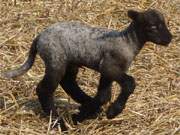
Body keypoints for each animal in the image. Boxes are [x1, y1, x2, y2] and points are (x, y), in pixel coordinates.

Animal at [1, 8, 173, 124]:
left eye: (164, 24)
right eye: (153, 26)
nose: (169, 38)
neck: (127, 42)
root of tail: (38, 38)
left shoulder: (107, 71)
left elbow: (104, 95)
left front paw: (84, 114)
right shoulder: (110, 67)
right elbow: (130, 83)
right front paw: (112, 112)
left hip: (69, 62)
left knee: (68, 83)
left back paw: (84, 107)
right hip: (55, 60)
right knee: (44, 89)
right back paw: (59, 123)